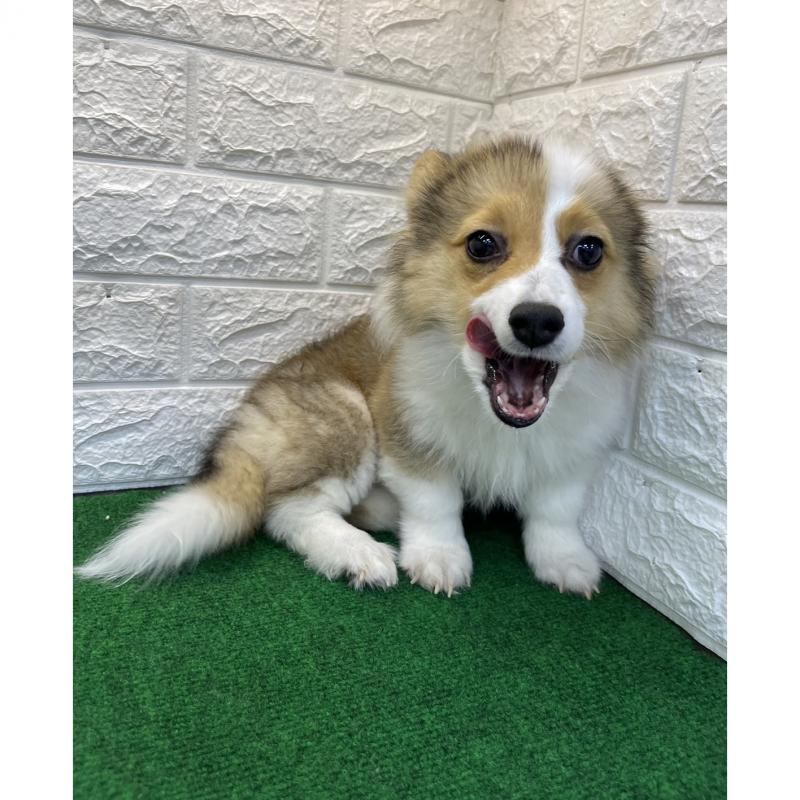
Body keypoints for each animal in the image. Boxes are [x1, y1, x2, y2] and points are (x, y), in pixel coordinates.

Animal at [77, 136, 656, 598]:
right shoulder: (406, 431)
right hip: (344, 416)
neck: (494, 416)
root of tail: (240, 433)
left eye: (588, 251)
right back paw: (359, 553)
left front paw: (565, 562)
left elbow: (556, 511)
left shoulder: (573, 451)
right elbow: (435, 502)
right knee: (289, 508)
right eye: (483, 243)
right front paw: (439, 559)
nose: (537, 321)